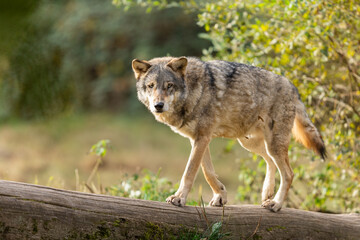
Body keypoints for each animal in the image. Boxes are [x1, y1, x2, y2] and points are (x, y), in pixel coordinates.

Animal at [132, 56, 326, 212]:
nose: (158, 105)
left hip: (272, 144)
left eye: (169, 86)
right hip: (250, 143)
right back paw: (267, 192)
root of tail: (292, 86)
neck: (194, 91)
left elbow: (189, 172)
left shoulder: (202, 139)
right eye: (151, 86)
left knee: (288, 173)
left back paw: (276, 204)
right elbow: (208, 173)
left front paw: (179, 198)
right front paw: (220, 196)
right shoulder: (199, 140)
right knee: (270, 162)